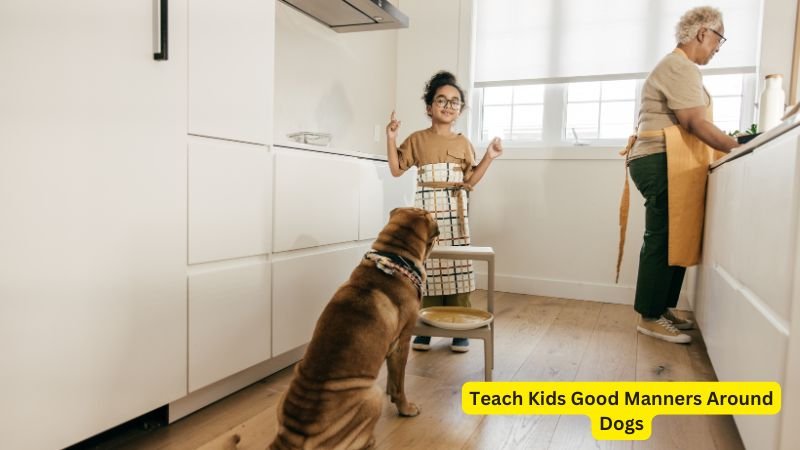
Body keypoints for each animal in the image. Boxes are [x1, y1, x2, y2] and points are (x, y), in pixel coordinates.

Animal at [272, 207, 440, 450]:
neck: (393, 258)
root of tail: (296, 435)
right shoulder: (402, 342)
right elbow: (399, 384)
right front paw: (406, 408)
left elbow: (393, 378)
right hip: (373, 396)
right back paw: (371, 439)